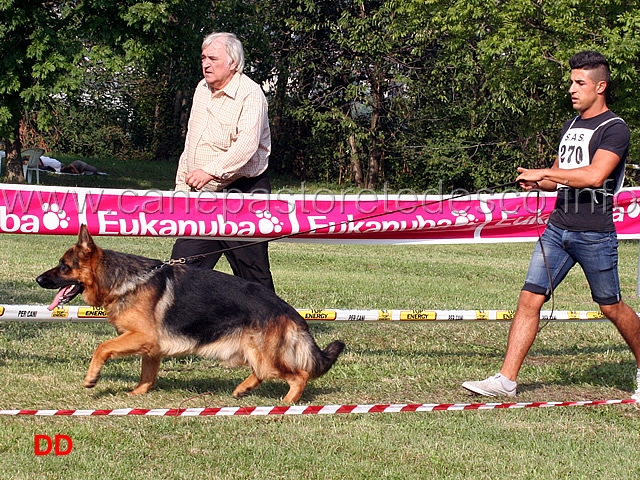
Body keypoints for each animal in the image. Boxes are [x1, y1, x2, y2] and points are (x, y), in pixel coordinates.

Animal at [36, 225, 344, 402]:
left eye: (63, 266)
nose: (38, 280)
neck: (121, 279)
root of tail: (288, 310)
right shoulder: (151, 348)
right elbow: (147, 374)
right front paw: (138, 393)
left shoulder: (142, 337)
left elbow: (101, 347)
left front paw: (92, 378)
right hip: (252, 351)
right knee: (260, 373)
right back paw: (243, 390)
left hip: (265, 356)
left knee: (298, 375)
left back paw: (287, 403)